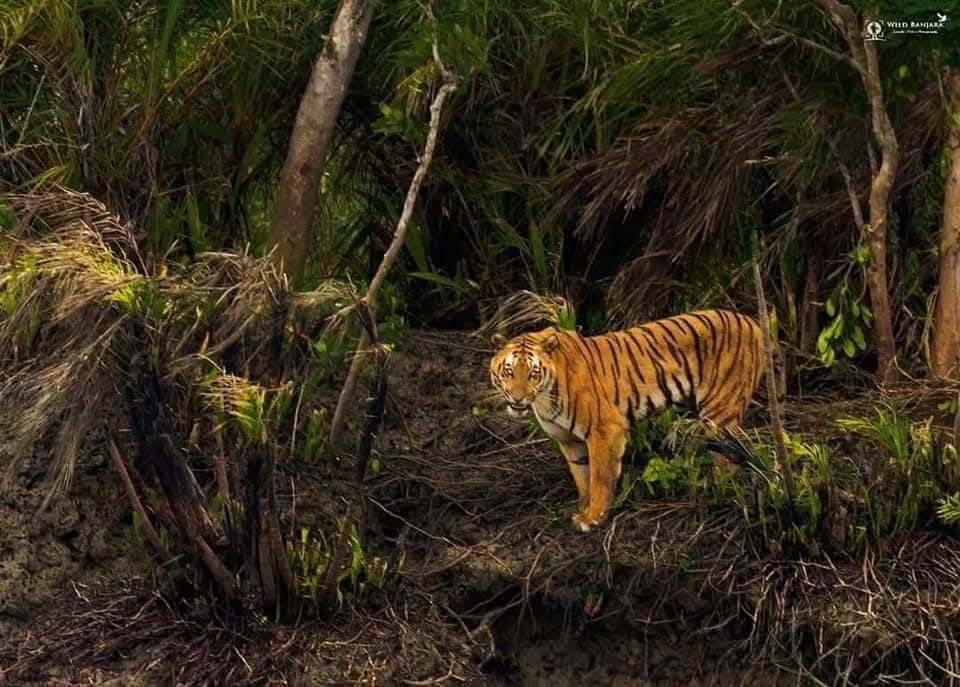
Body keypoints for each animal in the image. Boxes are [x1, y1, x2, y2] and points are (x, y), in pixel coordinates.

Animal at [489, 309, 766, 532]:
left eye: (533, 373)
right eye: (509, 371)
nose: (518, 398)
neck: (544, 398)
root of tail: (752, 322)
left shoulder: (605, 428)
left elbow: (600, 477)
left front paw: (594, 518)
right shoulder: (568, 441)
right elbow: (582, 478)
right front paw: (582, 511)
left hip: (720, 410)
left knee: (727, 459)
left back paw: (713, 490)